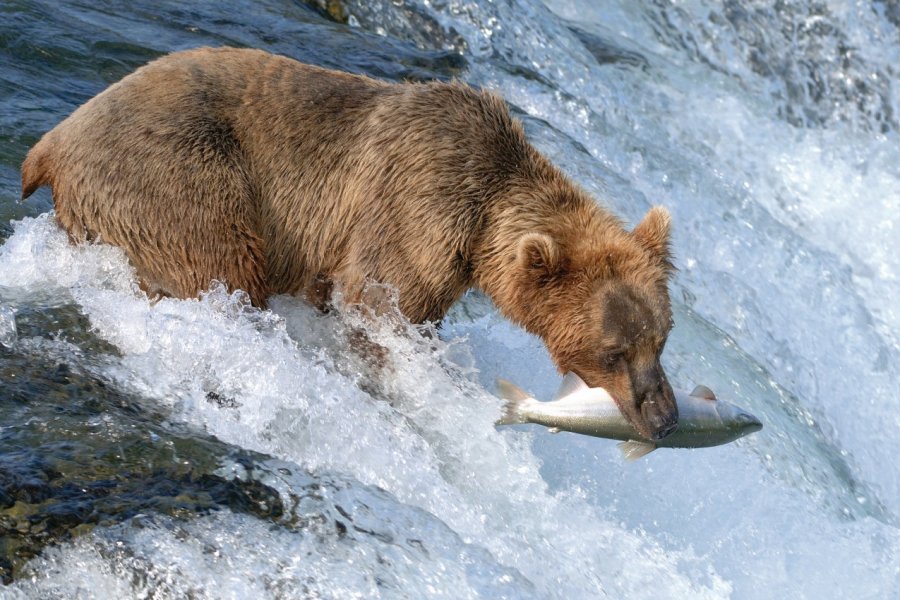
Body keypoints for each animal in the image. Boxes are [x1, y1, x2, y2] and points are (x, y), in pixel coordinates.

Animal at [21, 47, 680, 440]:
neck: (484, 213)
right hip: (182, 178)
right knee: (215, 269)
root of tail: (52, 142)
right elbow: (378, 305)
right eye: (614, 350)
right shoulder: (414, 210)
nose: (666, 418)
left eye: (661, 338)